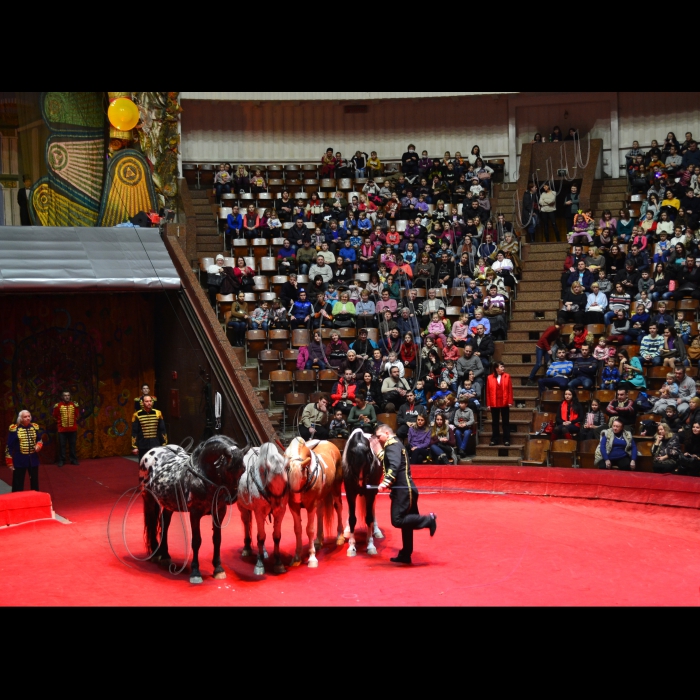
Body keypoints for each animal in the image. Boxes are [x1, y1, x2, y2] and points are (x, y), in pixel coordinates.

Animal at [139, 434, 246, 584]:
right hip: (148, 498)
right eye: (227, 469)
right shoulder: (195, 513)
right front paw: (195, 572)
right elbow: (196, 541)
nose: (232, 498)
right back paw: (155, 552)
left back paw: (165, 555)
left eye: (243, 469)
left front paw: (218, 568)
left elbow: (217, 539)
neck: (203, 478)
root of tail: (152, 451)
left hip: (170, 503)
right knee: (152, 524)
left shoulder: (219, 512)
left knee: (165, 525)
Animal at [237, 442, 288, 576]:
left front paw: (278, 563)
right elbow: (260, 537)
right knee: (246, 523)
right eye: (271, 482)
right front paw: (259, 564)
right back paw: (247, 547)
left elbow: (276, 536)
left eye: (286, 481)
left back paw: (264, 551)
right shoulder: (259, 511)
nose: (277, 504)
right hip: (242, 506)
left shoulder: (280, 512)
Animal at [284, 438, 344, 568]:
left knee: (338, 508)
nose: (297, 499)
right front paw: (297, 557)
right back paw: (319, 541)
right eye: (287, 478)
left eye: (302, 477)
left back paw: (340, 536)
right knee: (320, 512)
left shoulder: (311, 505)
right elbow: (298, 530)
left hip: (336, 488)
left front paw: (312, 558)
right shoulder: (293, 507)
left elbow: (309, 529)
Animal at [342, 426, 386, 556]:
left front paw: (370, 545)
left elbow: (369, 517)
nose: (361, 485)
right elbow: (352, 518)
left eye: (368, 463)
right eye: (353, 465)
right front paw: (351, 546)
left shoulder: (370, 493)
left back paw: (375, 530)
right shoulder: (350, 492)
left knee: (372, 510)